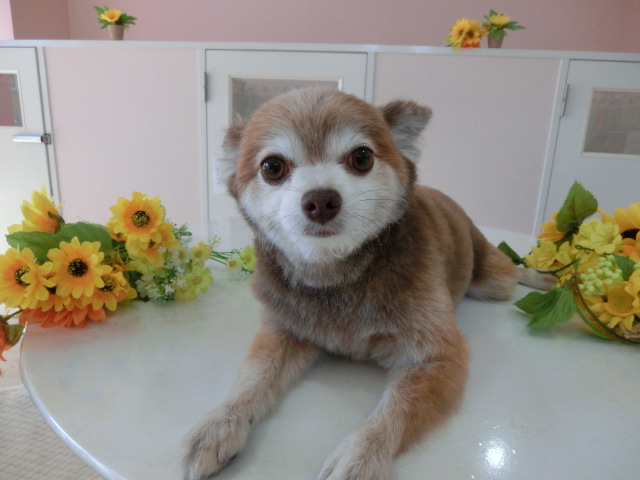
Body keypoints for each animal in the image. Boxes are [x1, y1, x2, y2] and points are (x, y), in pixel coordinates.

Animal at [182, 88, 549, 480]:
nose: (321, 200)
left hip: (493, 281)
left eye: (361, 158)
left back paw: (543, 277)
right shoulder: (284, 331)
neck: (338, 276)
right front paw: (220, 423)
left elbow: (397, 406)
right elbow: (252, 379)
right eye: (272, 167)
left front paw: (363, 453)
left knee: (513, 271)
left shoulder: (437, 358)